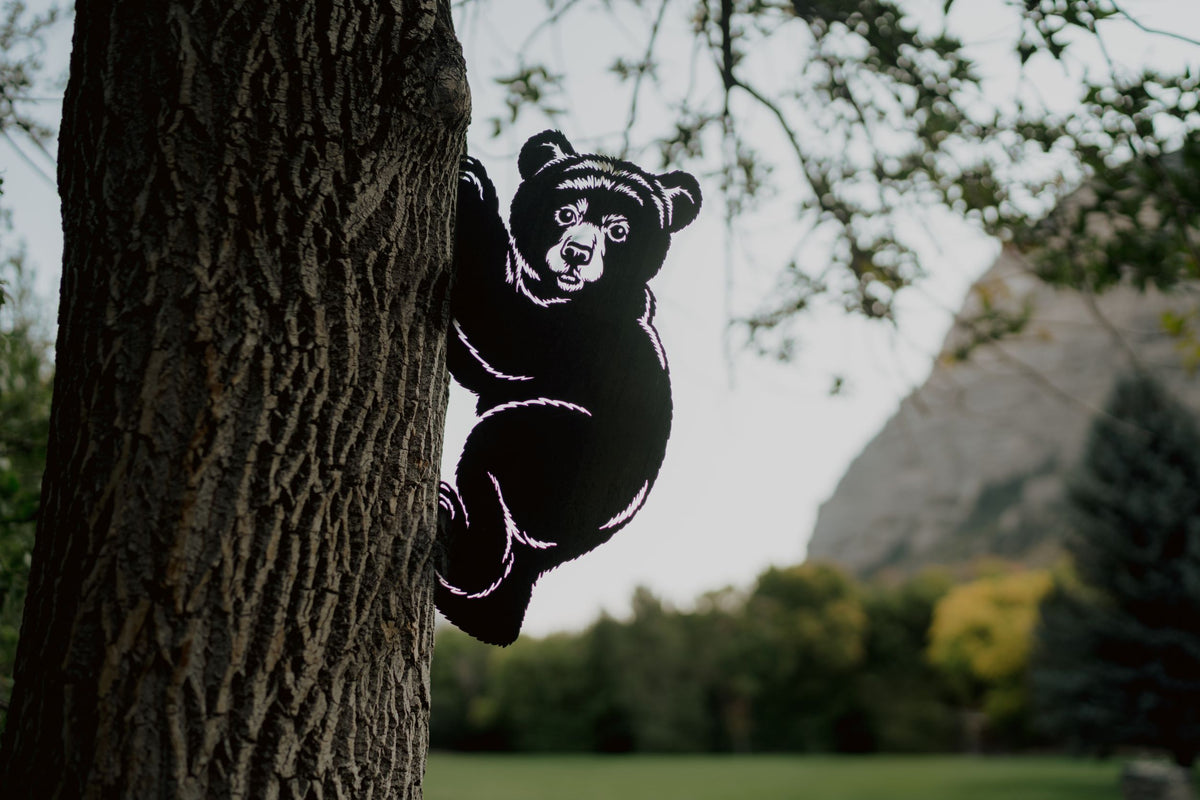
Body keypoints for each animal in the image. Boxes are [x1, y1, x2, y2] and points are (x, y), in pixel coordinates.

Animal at [435, 129, 701, 645]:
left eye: (619, 230)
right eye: (565, 213)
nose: (577, 252)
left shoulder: (583, 340)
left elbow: (503, 331)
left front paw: (473, 187)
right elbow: (483, 364)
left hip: (563, 458)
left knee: (491, 458)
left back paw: (449, 518)